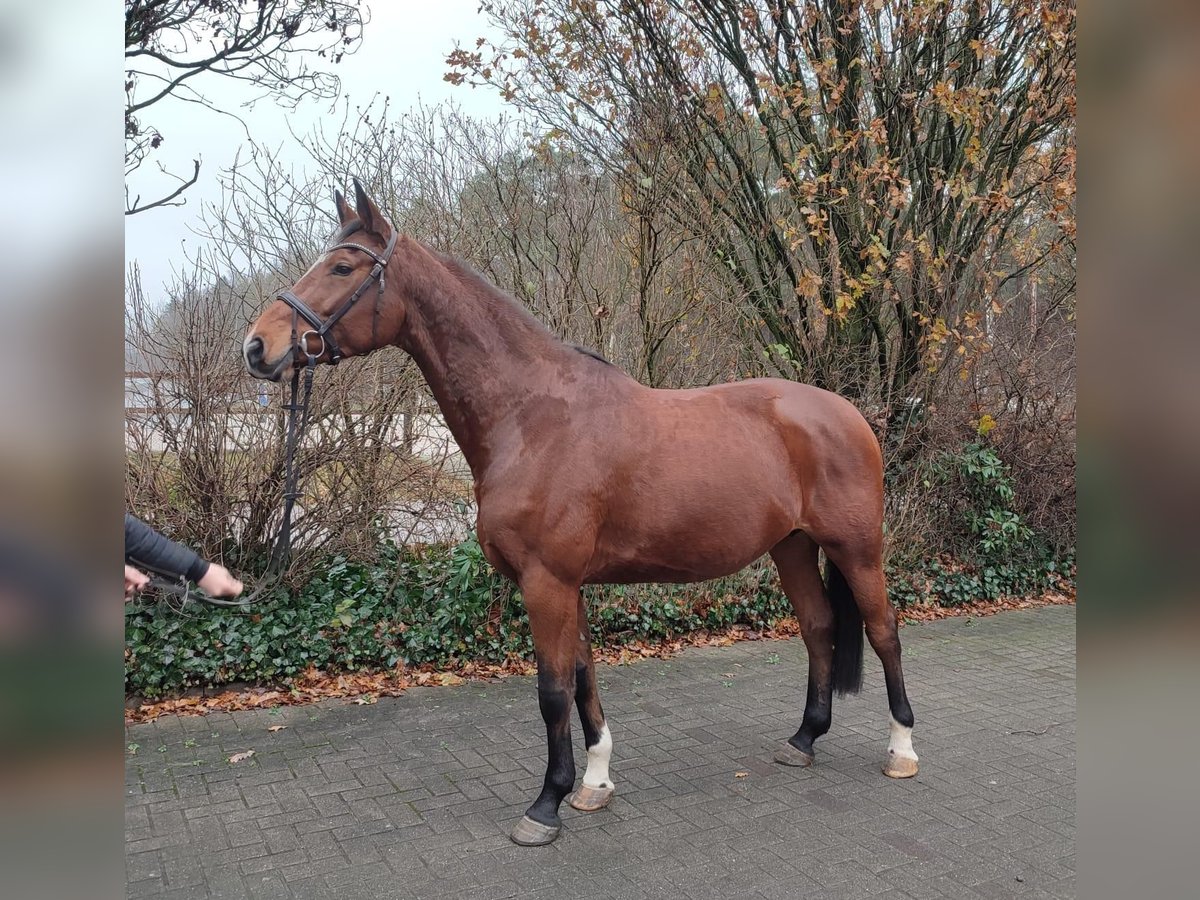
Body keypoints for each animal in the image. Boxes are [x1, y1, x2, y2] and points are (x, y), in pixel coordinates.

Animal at [241, 181, 916, 844]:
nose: (257, 346)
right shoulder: (570, 586)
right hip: (793, 545)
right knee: (819, 627)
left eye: (342, 266)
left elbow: (552, 690)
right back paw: (803, 739)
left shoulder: (547, 582)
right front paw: (593, 784)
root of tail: (848, 413)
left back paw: (902, 749)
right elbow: (586, 676)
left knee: (883, 631)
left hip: (858, 549)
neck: (531, 417)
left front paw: (546, 804)